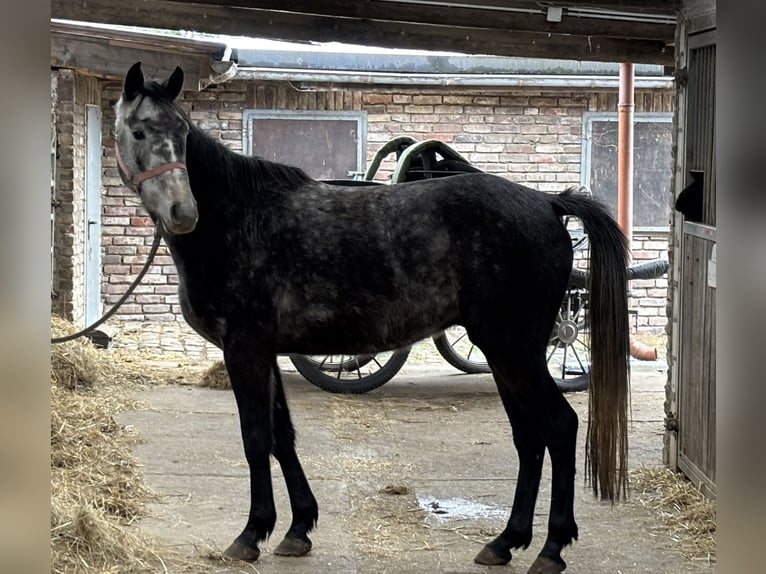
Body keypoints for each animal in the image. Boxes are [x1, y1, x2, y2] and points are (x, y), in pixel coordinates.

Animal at [114, 62, 630, 574]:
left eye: (182, 133)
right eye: (139, 131)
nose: (183, 212)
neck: (238, 219)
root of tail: (547, 202)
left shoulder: (245, 350)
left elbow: (257, 438)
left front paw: (251, 534)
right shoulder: (266, 352)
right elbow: (283, 437)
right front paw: (298, 529)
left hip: (514, 352)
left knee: (559, 428)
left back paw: (551, 548)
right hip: (507, 357)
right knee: (529, 439)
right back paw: (505, 542)